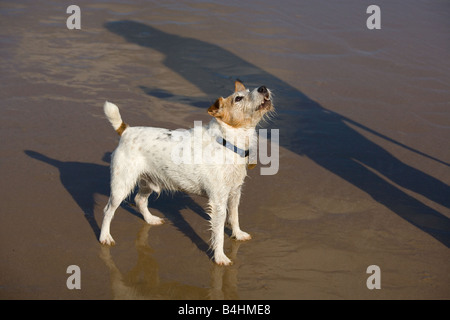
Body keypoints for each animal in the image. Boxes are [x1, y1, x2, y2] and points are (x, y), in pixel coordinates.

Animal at [100, 80, 272, 264]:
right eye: (238, 98)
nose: (263, 88)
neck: (228, 142)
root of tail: (126, 130)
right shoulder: (218, 202)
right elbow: (218, 232)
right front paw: (220, 257)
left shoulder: (234, 193)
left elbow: (234, 216)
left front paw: (238, 234)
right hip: (121, 186)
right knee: (108, 210)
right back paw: (105, 237)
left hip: (149, 182)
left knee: (139, 200)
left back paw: (150, 219)